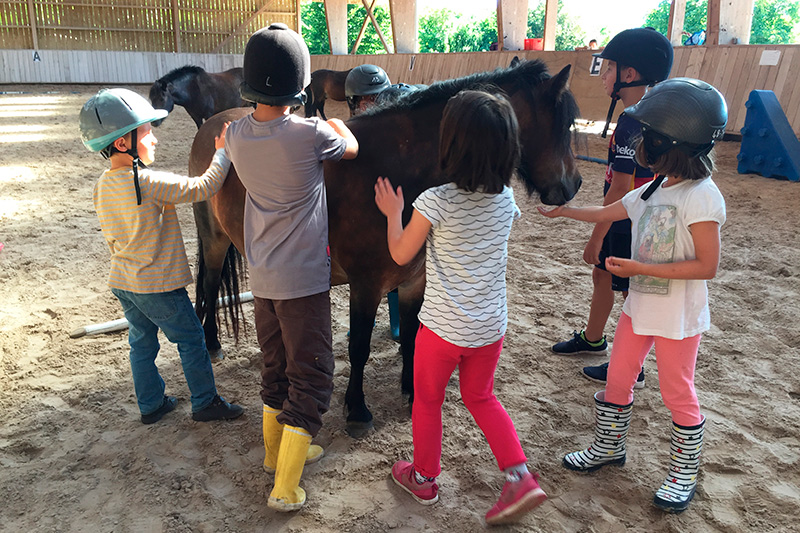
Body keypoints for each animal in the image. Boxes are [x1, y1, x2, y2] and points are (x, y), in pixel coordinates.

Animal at [191, 60, 584, 438]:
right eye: (563, 125)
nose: (573, 184)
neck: (394, 172)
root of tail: (215, 125)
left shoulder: (412, 281)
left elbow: (410, 337)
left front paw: (411, 390)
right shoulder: (366, 286)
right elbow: (360, 347)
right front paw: (357, 410)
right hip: (214, 241)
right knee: (209, 287)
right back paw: (210, 343)